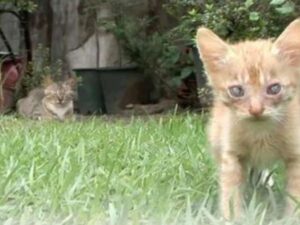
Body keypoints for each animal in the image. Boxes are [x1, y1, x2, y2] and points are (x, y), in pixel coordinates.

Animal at [196, 19, 300, 220]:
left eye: (274, 88)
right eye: (237, 91)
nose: (256, 109)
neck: (261, 133)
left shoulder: (296, 154)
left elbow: (295, 193)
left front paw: (292, 218)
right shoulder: (231, 155)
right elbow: (230, 191)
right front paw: (232, 218)